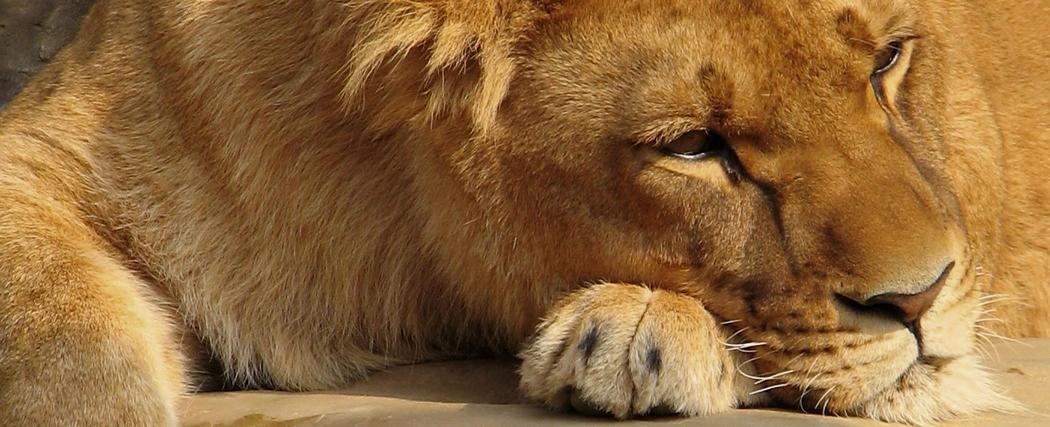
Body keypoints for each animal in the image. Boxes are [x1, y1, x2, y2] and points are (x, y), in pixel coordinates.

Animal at [0, 0, 1047, 425]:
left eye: (889, 61)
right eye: (693, 146)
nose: (922, 300)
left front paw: (636, 327)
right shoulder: (56, 151)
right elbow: (62, 340)